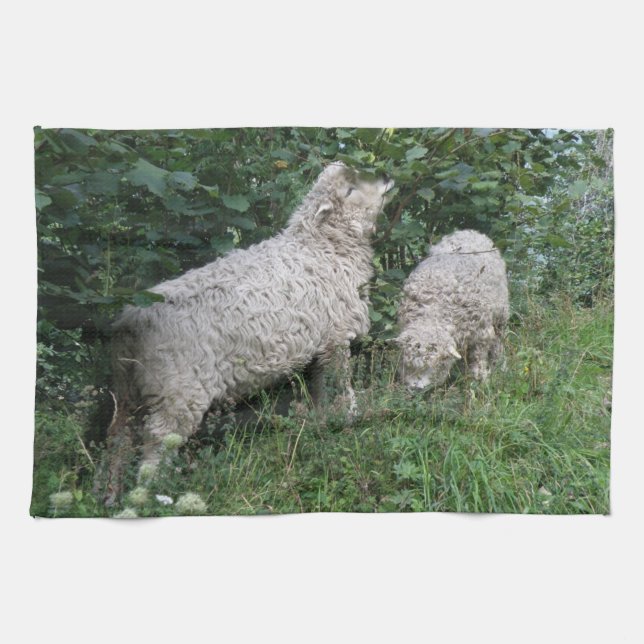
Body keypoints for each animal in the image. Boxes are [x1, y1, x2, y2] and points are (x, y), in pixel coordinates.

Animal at [101, 162, 394, 503]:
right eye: (349, 190)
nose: (386, 176)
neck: (322, 246)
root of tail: (130, 321)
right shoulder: (336, 337)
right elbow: (340, 386)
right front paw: (349, 418)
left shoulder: (321, 344)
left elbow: (321, 390)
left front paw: (325, 423)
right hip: (177, 388)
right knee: (159, 438)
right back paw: (152, 494)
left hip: (129, 390)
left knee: (118, 437)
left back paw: (108, 495)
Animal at [396, 229, 509, 390]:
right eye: (408, 363)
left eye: (434, 365)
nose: (415, 388)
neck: (433, 312)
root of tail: (468, 231)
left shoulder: (482, 334)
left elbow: (478, 359)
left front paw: (480, 380)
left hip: (501, 317)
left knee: (499, 343)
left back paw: (499, 365)